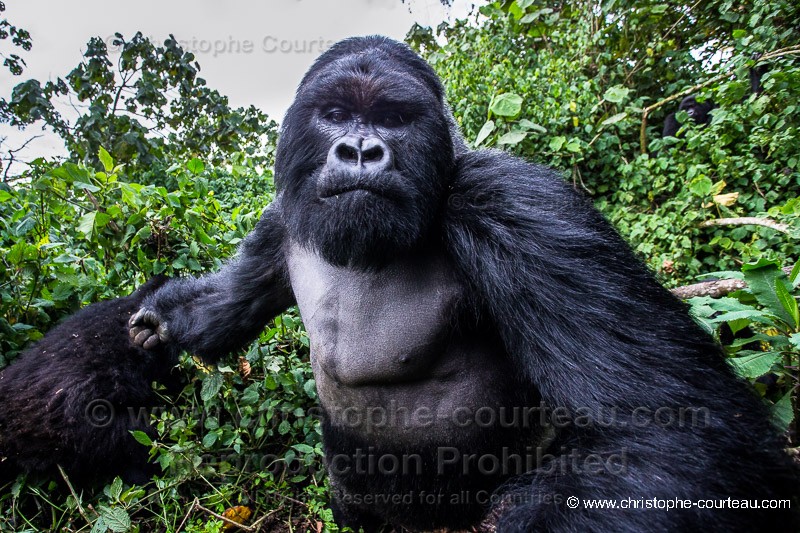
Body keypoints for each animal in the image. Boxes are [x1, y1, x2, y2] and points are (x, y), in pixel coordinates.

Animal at [128, 35, 796, 528]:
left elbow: (672, 429)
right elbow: (231, 301)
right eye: (337, 114)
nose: (360, 151)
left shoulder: (513, 202)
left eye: (393, 118)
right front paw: (162, 322)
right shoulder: (280, 219)